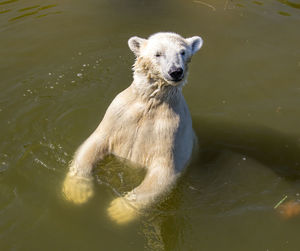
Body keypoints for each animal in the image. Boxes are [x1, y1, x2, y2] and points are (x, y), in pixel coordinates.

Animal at [63, 32, 204, 224]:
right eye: (158, 53)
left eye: (182, 52)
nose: (176, 71)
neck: (149, 103)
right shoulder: (118, 114)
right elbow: (94, 143)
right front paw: (76, 191)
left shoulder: (171, 129)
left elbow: (163, 172)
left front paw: (119, 210)